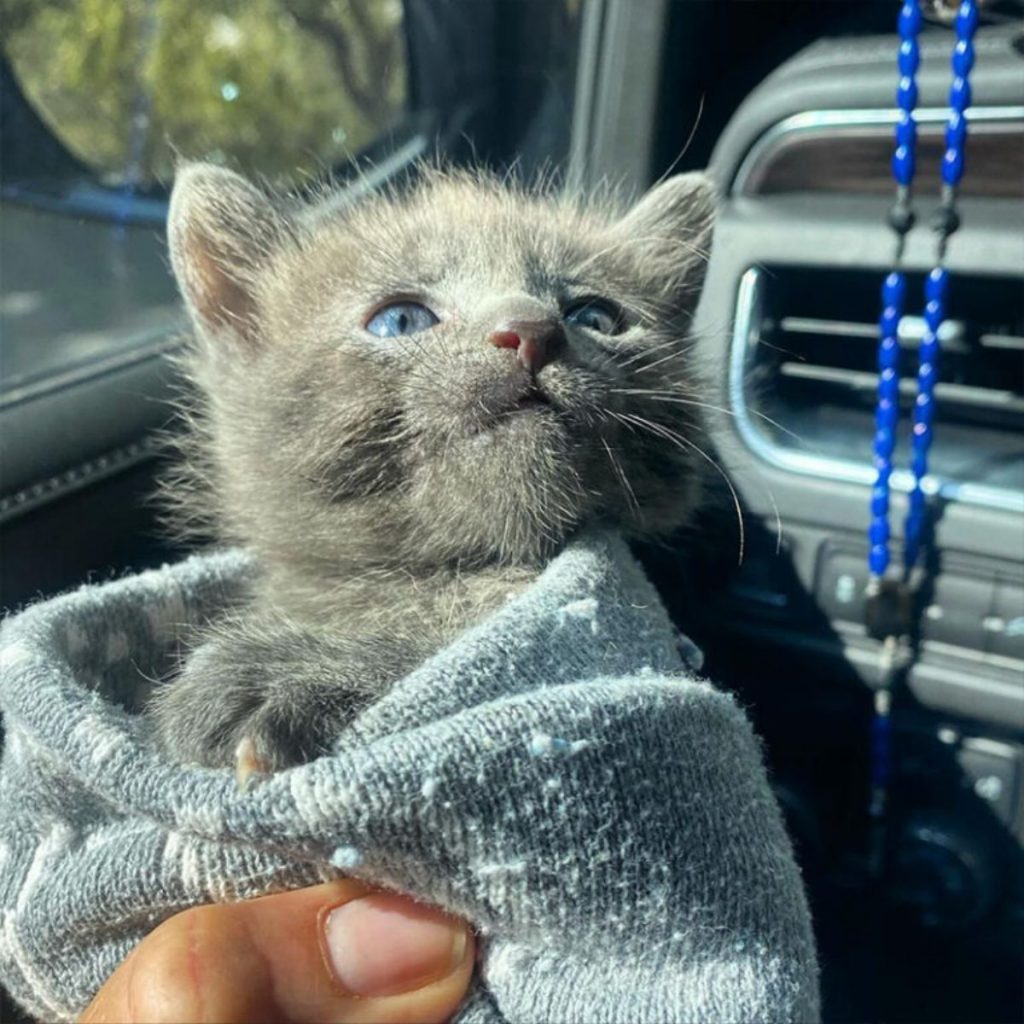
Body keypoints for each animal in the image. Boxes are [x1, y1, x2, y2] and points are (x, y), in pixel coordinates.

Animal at [151, 163, 716, 778]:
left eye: (595, 316)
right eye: (400, 320)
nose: (533, 329)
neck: (450, 576)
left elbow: (454, 663)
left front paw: (283, 675)